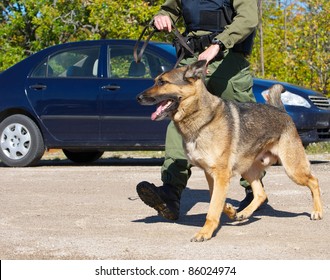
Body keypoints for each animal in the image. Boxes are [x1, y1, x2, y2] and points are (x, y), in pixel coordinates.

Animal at [136, 60, 322, 242]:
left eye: (162, 82)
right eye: (156, 80)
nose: (138, 98)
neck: (202, 118)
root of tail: (282, 112)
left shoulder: (221, 174)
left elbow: (213, 207)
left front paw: (205, 232)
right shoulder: (212, 175)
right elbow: (215, 198)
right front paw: (231, 211)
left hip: (293, 169)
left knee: (314, 181)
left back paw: (318, 212)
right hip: (247, 169)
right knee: (261, 194)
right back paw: (244, 213)